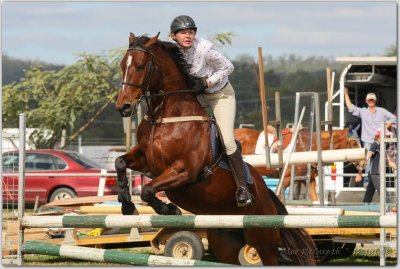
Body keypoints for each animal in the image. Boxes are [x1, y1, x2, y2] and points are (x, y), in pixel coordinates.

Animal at [114, 33, 318, 264]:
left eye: (140, 66)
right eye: (122, 64)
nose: (123, 107)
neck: (165, 117)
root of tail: (266, 192)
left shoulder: (184, 170)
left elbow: (148, 190)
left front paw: (169, 209)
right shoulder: (146, 160)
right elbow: (120, 162)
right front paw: (127, 204)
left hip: (263, 239)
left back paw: (243, 196)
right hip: (227, 240)